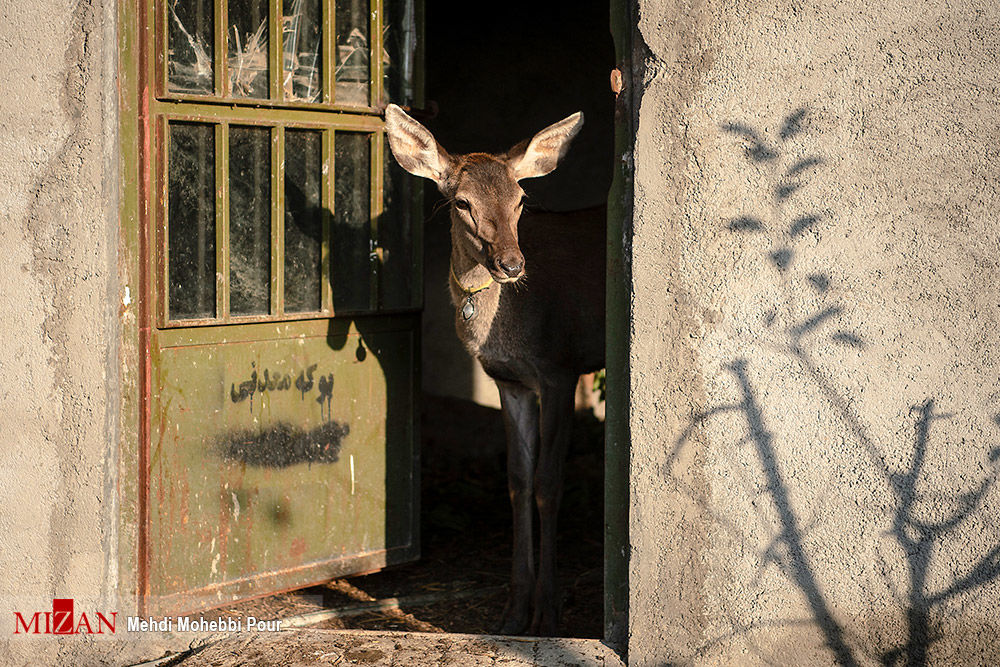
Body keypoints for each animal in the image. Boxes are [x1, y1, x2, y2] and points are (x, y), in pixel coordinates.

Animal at [382, 105, 604, 636]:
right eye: (462, 202)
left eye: (521, 199)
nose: (511, 264)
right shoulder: (508, 380)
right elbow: (517, 480)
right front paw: (512, 612)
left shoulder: (560, 366)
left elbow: (549, 481)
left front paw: (548, 613)